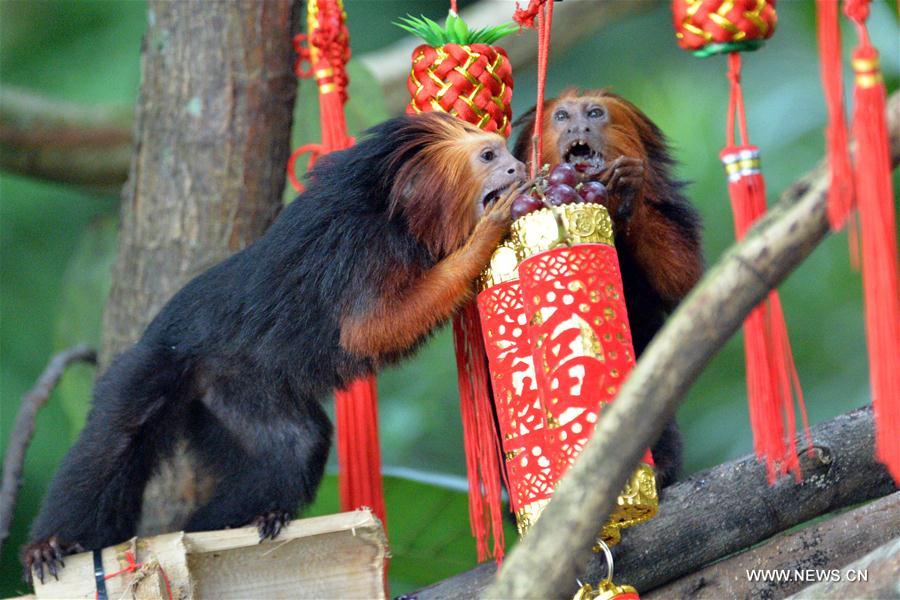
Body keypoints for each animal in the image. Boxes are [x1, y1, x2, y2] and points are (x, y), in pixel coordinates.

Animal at [22, 111, 528, 580]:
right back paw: (51, 543)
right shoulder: (355, 250)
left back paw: (237, 523)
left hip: (239, 396)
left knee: (296, 443)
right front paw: (486, 235)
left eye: (505, 151)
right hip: (157, 364)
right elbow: (370, 328)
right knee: (115, 438)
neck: (394, 214)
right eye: (489, 156)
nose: (517, 166)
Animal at [512, 86, 704, 486]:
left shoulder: (672, 207)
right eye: (562, 117)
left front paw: (629, 194)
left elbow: (685, 282)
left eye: (595, 114)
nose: (579, 128)